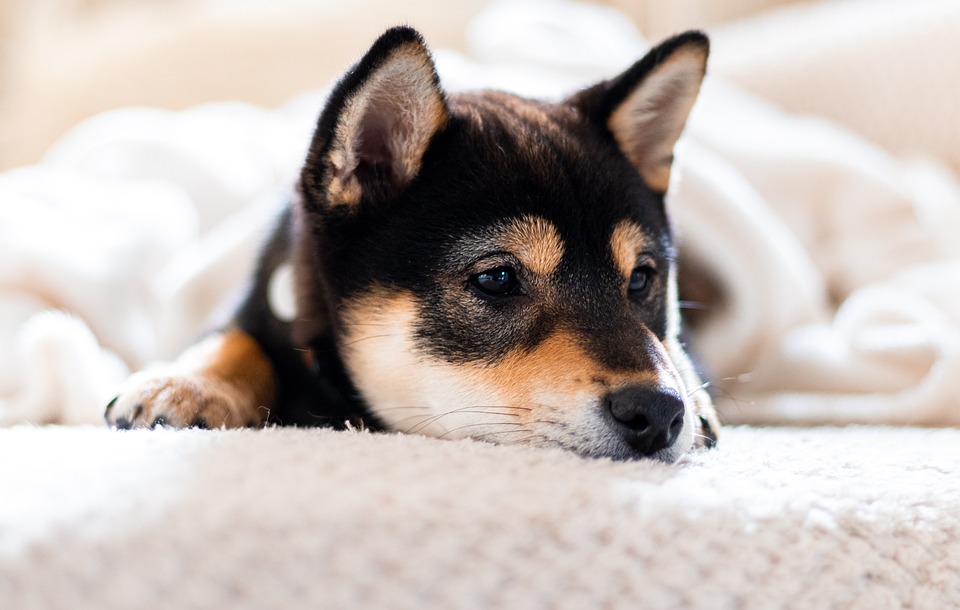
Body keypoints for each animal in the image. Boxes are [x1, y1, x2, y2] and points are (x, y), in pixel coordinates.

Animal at [105, 26, 720, 458]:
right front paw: (184, 383)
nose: (658, 412)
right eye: (497, 278)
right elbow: (236, 335)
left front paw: (692, 391)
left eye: (641, 279)